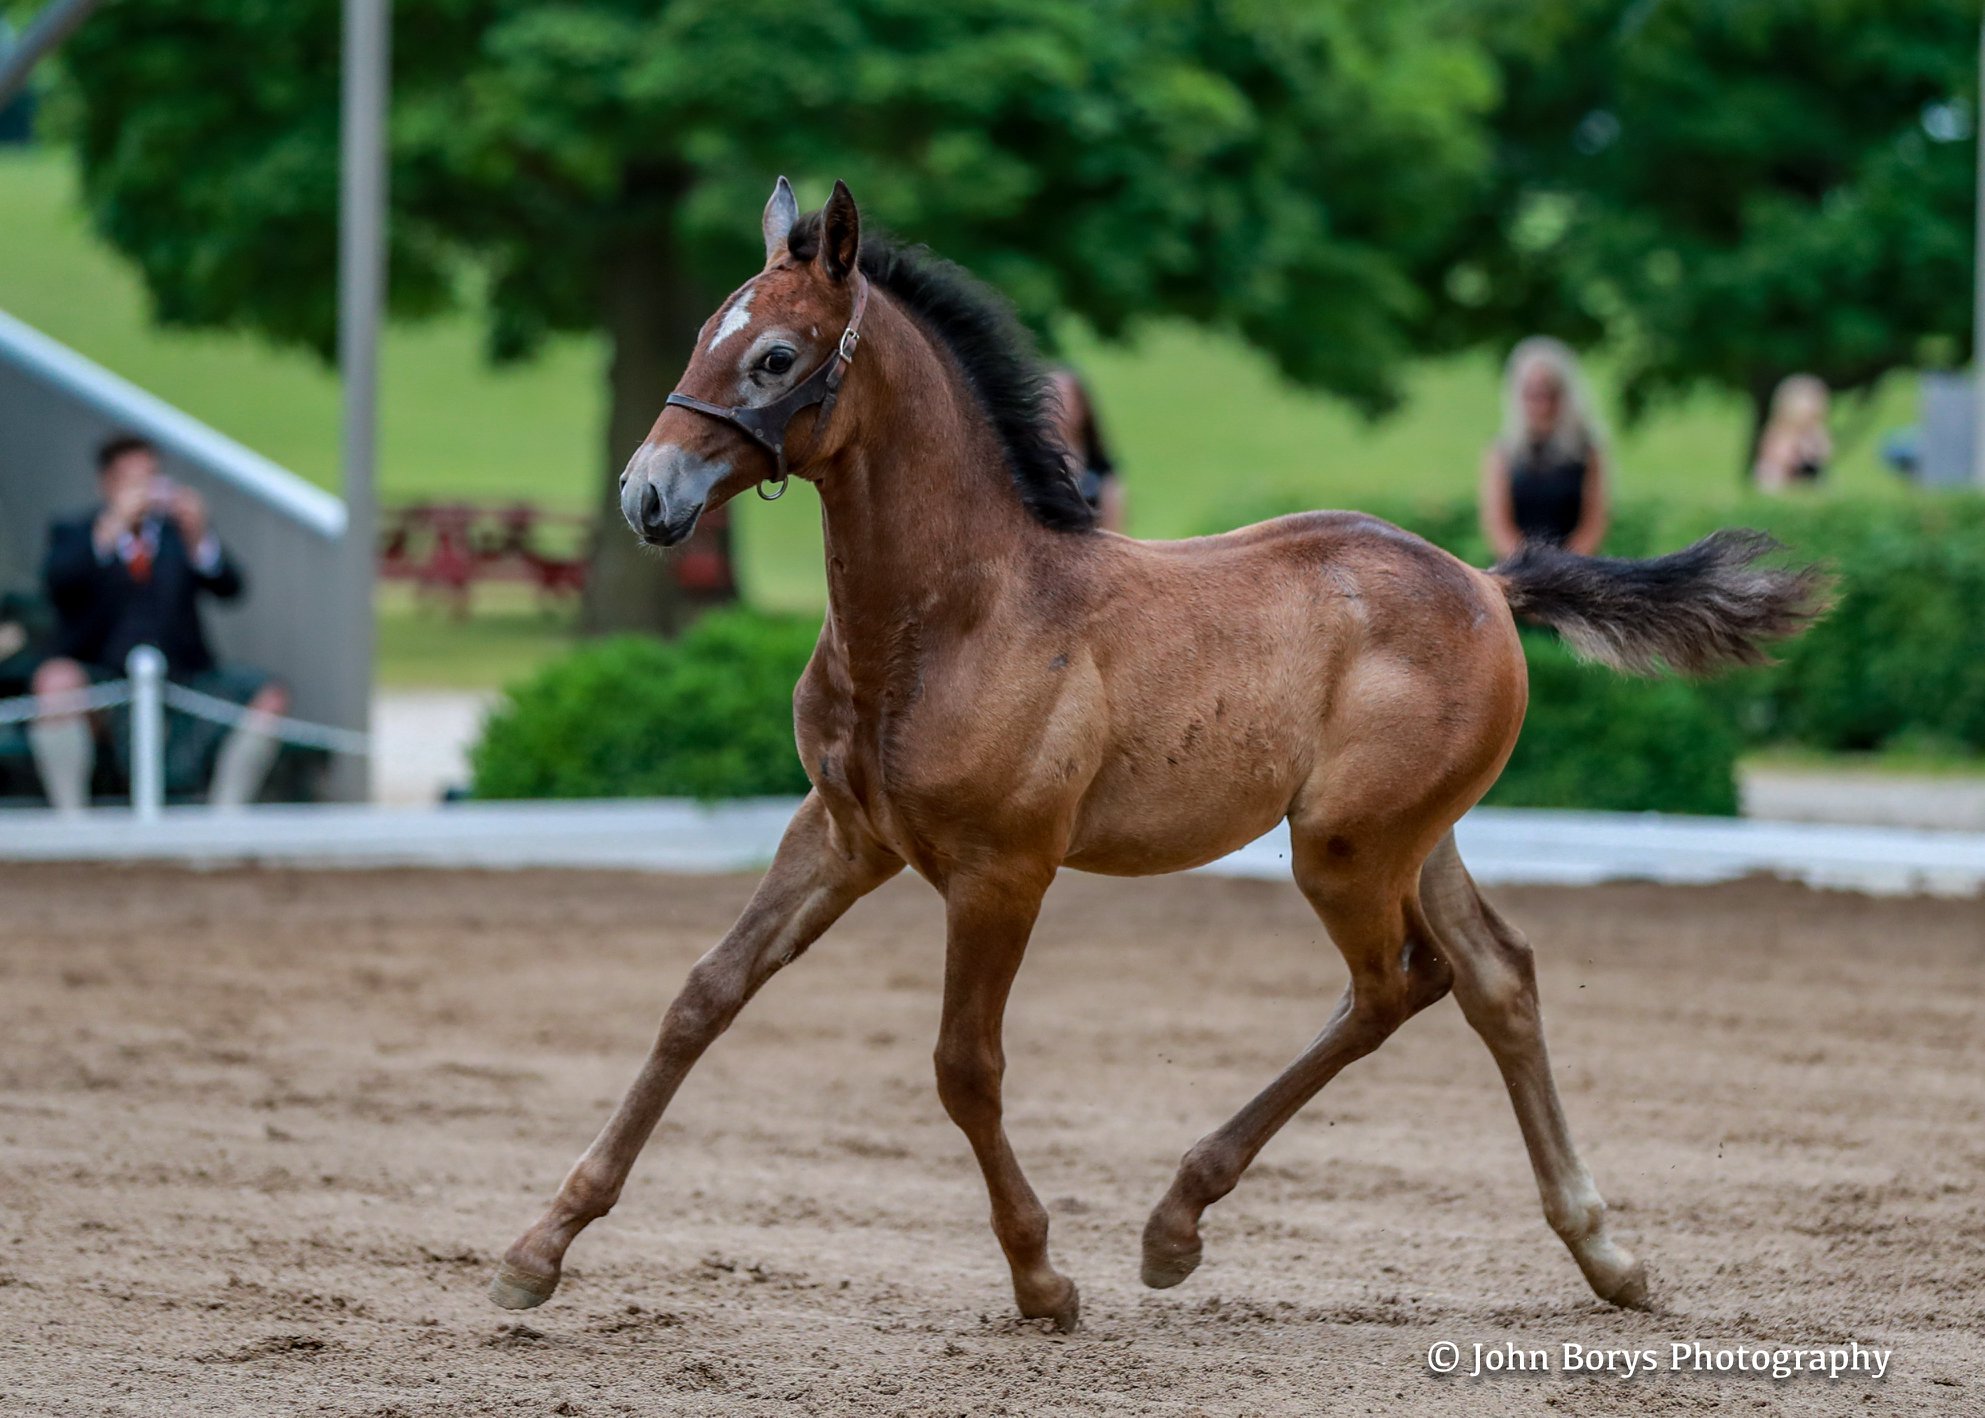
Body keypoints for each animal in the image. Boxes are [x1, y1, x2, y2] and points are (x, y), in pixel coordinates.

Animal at [488, 179, 1818, 1326]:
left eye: (772, 355)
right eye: (703, 335)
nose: (646, 494)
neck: (956, 609)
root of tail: (1491, 585)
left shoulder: (1002, 869)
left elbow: (963, 1065)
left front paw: (1041, 1279)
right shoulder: (841, 833)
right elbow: (701, 996)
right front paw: (536, 1250)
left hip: (1342, 845)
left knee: (1395, 984)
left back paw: (1175, 1224)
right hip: (1410, 835)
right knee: (1494, 975)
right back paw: (1605, 1252)